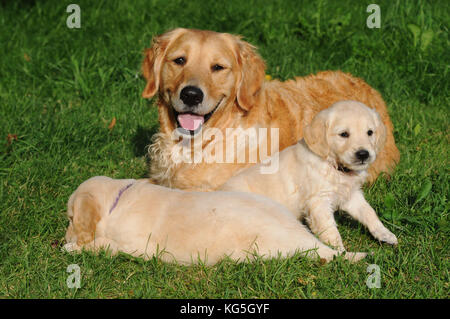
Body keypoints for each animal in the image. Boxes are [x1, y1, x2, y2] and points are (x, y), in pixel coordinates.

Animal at [63, 178, 368, 264]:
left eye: (70, 218)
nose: (63, 238)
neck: (117, 201)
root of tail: (306, 239)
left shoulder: (135, 246)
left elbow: (102, 245)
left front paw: (71, 247)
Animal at [221, 101, 398, 251]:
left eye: (370, 132)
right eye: (344, 134)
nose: (363, 154)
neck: (334, 166)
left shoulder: (351, 195)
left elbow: (369, 212)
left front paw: (384, 233)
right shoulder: (318, 201)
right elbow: (329, 228)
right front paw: (339, 253)